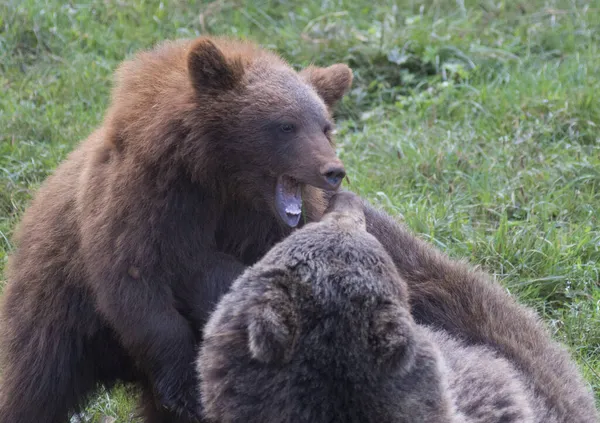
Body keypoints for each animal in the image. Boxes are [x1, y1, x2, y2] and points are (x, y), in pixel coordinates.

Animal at [0, 36, 352, 423]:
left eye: (325, 127)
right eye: (286, 125)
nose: (333, 170)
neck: (217, 177)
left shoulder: (258, 225)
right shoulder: (143, 204)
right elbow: (137, 286)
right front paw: (185, 386)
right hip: (56, 305)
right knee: (36, 381)